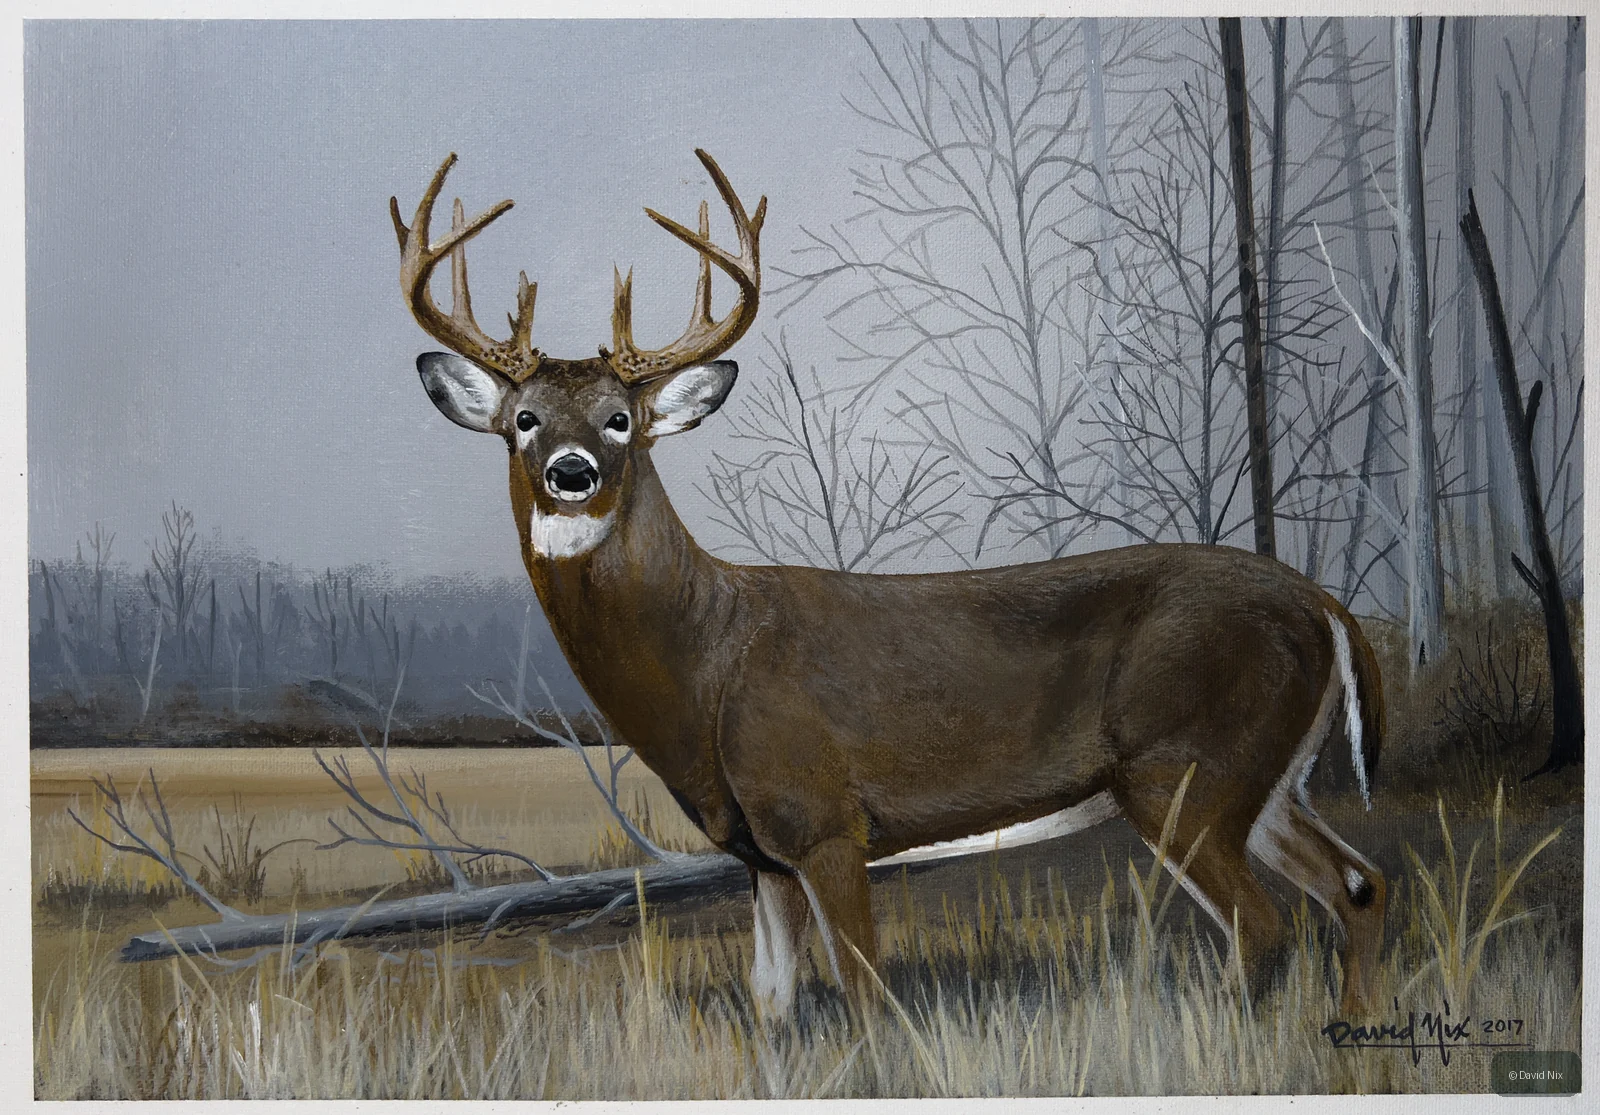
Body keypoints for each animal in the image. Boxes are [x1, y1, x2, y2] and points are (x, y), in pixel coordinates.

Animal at [392, 150, 1390, 1018]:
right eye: (523, 418)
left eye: (620, 419)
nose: (572, 472)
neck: (709, 659)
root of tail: (1327, 606)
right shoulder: (760, 851)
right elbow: (773, 1002)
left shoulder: (827, 819)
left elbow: (866, 992)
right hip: (1264, 779)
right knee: (1359, 883)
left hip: (1184, 766)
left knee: (1264, 924)